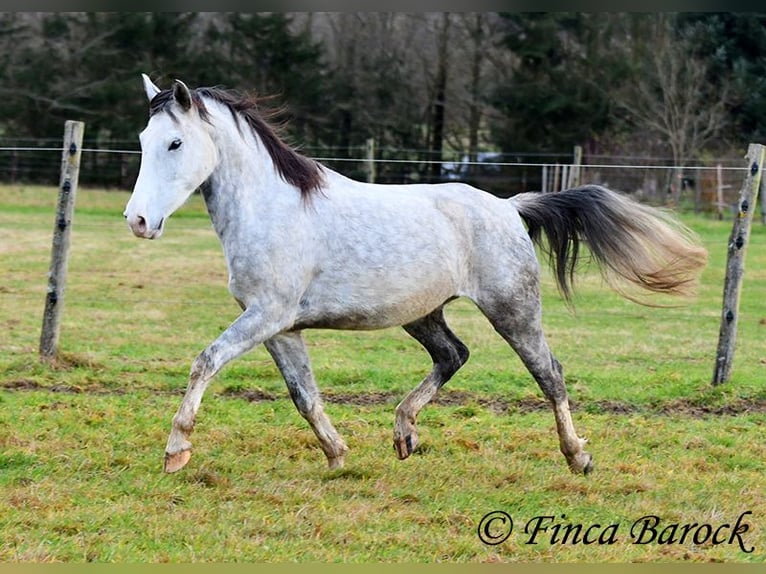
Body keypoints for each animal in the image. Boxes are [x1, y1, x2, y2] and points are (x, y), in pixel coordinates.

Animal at [124, 75, 708, 476]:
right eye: (143, 139)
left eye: (175, 143)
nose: (138, 221)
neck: (273, 208)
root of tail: (509, 207)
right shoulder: (278, 327)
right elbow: (303, 393)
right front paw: (338, 456)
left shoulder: (267, 315)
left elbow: (205, 362)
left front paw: (177, 451)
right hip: (423, 313)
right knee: (454, 355)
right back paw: (405, 433)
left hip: (513, 310)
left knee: (550, 374)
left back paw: (577, 457)